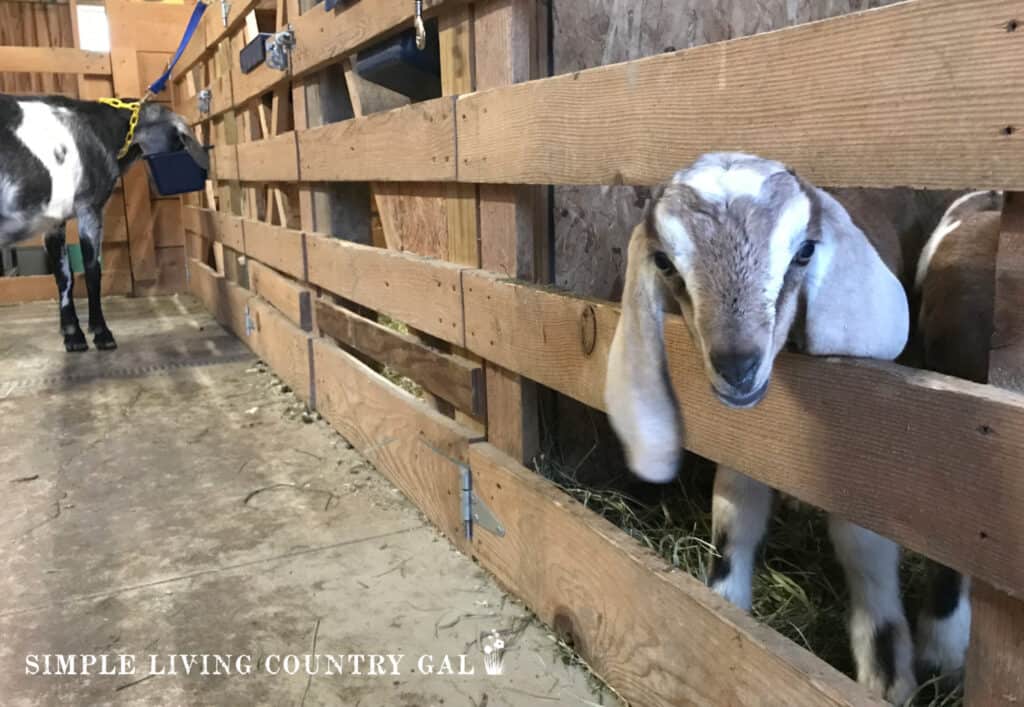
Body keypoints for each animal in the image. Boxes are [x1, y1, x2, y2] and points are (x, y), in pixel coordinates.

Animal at [0, 96, 207, 350]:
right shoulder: (90, 207)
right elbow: (92, 271)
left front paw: (72, 335)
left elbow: (64, 275)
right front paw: (101, 333)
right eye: (179, 143)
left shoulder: (54, 220)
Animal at [602, 149, 995, 700]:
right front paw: (723, 607)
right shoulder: (747, 440)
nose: (738, 366)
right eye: (664, 262)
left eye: (805, 252)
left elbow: (863, 544)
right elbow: (734, 515)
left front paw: (886, 677)